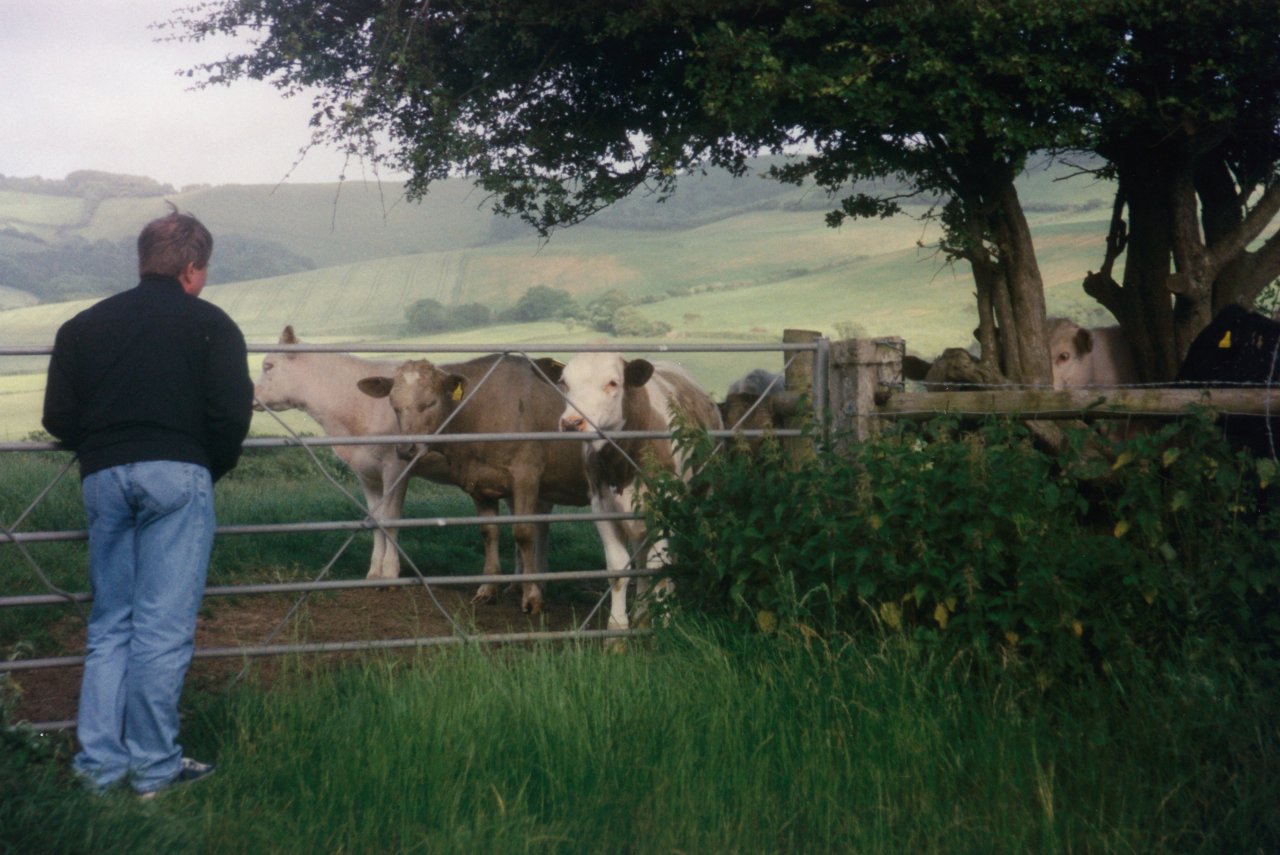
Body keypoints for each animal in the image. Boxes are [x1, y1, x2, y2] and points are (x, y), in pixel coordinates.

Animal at [254, 326, 456, 581]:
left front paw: (390, 572)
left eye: (268, 365)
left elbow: (391, 518)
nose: (251, 394)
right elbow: (376, 519)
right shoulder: (366, 471)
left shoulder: (396, 465)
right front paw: (374, 572)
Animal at [357, 354, 590, 614]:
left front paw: (531, 596)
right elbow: (488, 532)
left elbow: (523, 533)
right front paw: (487, 590)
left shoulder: (526, 476)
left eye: (430, 402)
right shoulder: (479, 483)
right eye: (394, 405)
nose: (406, 449)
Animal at [556, 353, 724, 631]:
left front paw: (664, 620)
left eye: (613, 383)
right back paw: (643, 609)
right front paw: (618, 624)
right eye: (564, 383)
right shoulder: (602, 507)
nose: (571, 423)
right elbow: (619, 568)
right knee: (642, 555)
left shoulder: (667, 504)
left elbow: (659, 566)